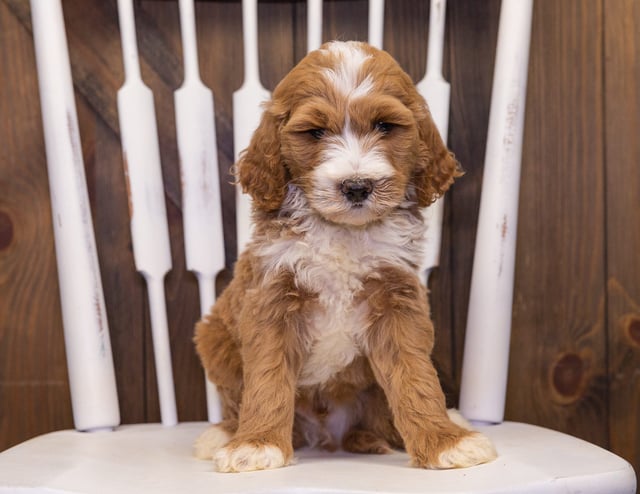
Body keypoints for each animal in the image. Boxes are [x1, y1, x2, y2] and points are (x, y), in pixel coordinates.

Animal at [192, 40, 498, 472]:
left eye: (385, 126)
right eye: (315, 132)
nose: (356, 186)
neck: (343, 232)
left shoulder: (396, 299)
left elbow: (415, 375)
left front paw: (444, 442)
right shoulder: (272, 297)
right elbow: (268, 376)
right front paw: (256, 445)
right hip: (214, 338)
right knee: (235, 398)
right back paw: (224, 434)